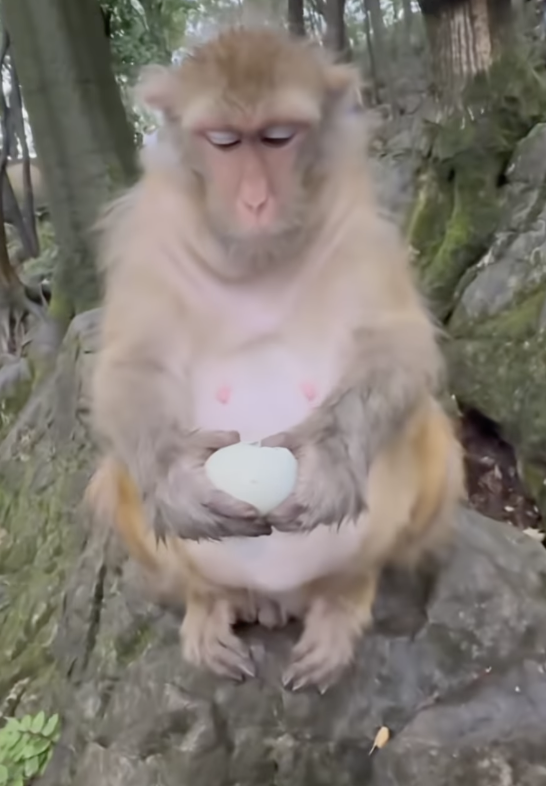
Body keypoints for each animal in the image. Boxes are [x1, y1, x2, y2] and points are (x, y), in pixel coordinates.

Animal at [87, 23, 466, 692]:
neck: (254, 259)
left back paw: (344, 596)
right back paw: (210, 602)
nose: (257, 200)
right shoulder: (148, 238)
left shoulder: (360, 230)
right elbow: (130, 368)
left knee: (427, 436)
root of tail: (282, 595)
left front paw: (330, 456)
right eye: (224, 141)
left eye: (278, 137)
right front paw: (176, 477)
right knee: (117, 477)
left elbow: (399, 344)